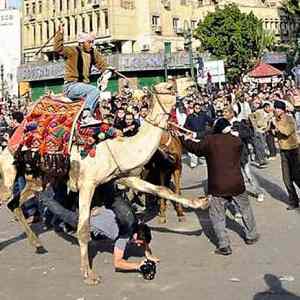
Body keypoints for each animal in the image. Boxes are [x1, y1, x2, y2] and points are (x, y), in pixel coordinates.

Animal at [0, 83, 207, 284]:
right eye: (169, 87)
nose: (187, 90)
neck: (116, 149)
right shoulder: (87, 183)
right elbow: (83, 228)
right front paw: (89, 274)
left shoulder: (123, 176)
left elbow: (162, 189)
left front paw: (201, 203)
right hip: (10, 169)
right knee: (7, 197)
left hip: (39, 177)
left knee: (15, 202)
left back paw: (38, 244)